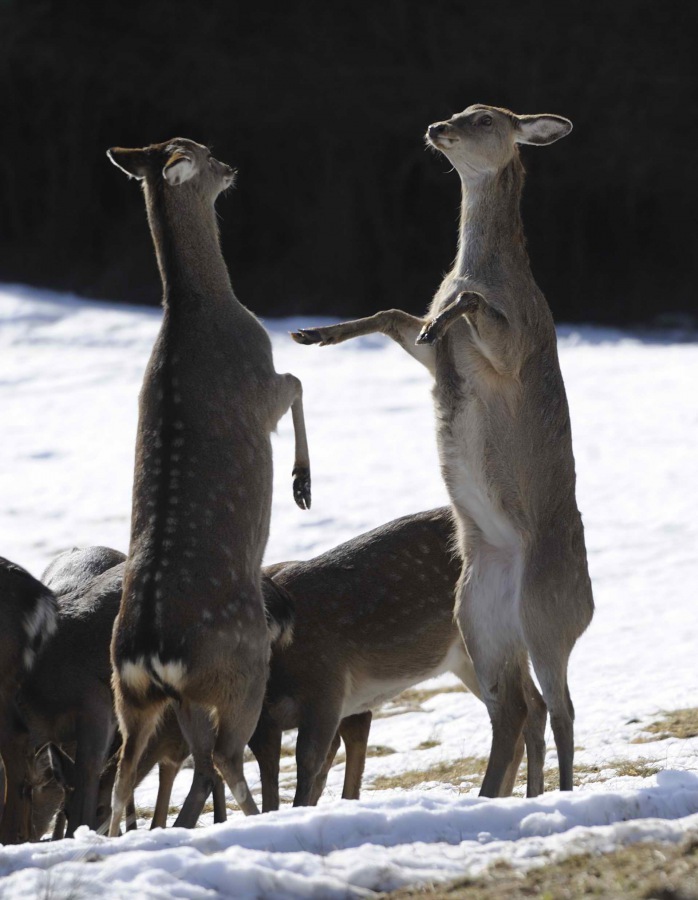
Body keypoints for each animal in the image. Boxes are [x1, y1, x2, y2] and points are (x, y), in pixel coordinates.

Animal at [106, 138, 311, 835]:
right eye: (200, 150)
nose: (231, 168)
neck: (201, 308)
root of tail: (150, 652)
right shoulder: (260, 381)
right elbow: (297, 382)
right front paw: (302, 484)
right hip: (242, 664)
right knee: (221, 754)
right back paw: (253, 818)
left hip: (136, 696)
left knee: (128, 779)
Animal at [250, 507, 547, 810]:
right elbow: (274, 774)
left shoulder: (325, 685)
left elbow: (308, 763)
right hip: (471, 659)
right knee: (534, 706)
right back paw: (524, 795)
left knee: (515, 710)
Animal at [292, 105, 594, 796]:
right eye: (459, 108)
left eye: (483, 118)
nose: (436, 127)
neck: (482, 270)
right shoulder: (433, 356)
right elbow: (392, 314)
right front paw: (314, 333)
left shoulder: (519, 344)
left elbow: (471, 306)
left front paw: (445, 315)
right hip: (476, 618)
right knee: (518, 707)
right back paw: (506, 795)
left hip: (549, 610)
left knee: (561, 704)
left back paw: (561, 792)